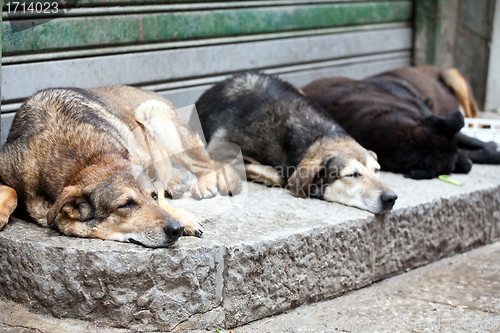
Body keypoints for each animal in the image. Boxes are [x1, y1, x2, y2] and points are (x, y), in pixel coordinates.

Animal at [0, 85, 242, 246]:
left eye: (152, 196)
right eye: (125, 205)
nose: (177, 229)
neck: (84, 158)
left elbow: (164, 201)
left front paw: (184, 217)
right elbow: (11, 191)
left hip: (158, 120)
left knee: (208, 163)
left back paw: (205, 184)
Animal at [300, 65, 500, 179]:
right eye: (450, 168)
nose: (468, 164)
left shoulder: (432, 117)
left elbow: (472, 141)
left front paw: (489, 147)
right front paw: (487, 153)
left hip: (453, 77)